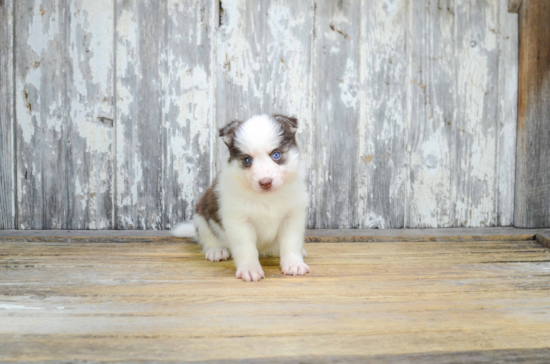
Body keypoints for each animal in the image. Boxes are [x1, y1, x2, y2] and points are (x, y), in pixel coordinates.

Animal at [172, 114, 310, 282]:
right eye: (247, 160)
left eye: (276, 155)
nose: (265, 182)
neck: (266, 198)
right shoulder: (239, 221)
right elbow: (246, 248)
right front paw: (249, 269)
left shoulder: (293, 216)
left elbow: (291, 243)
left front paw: (293, 264)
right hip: (201, 214)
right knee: (207, 236)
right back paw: (216, 250)